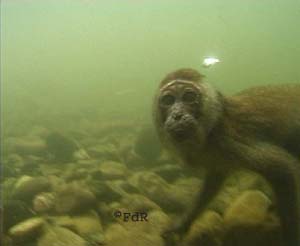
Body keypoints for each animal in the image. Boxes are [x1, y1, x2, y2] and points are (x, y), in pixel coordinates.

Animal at [154, 68, 300, 246]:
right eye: (168, 100)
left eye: (189, 96)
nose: (177, 115)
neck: (212, 127)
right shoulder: (218, 157)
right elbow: (213, 182)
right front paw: (182, 224)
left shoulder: (230, 142)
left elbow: (282, 168)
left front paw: (292, 239)